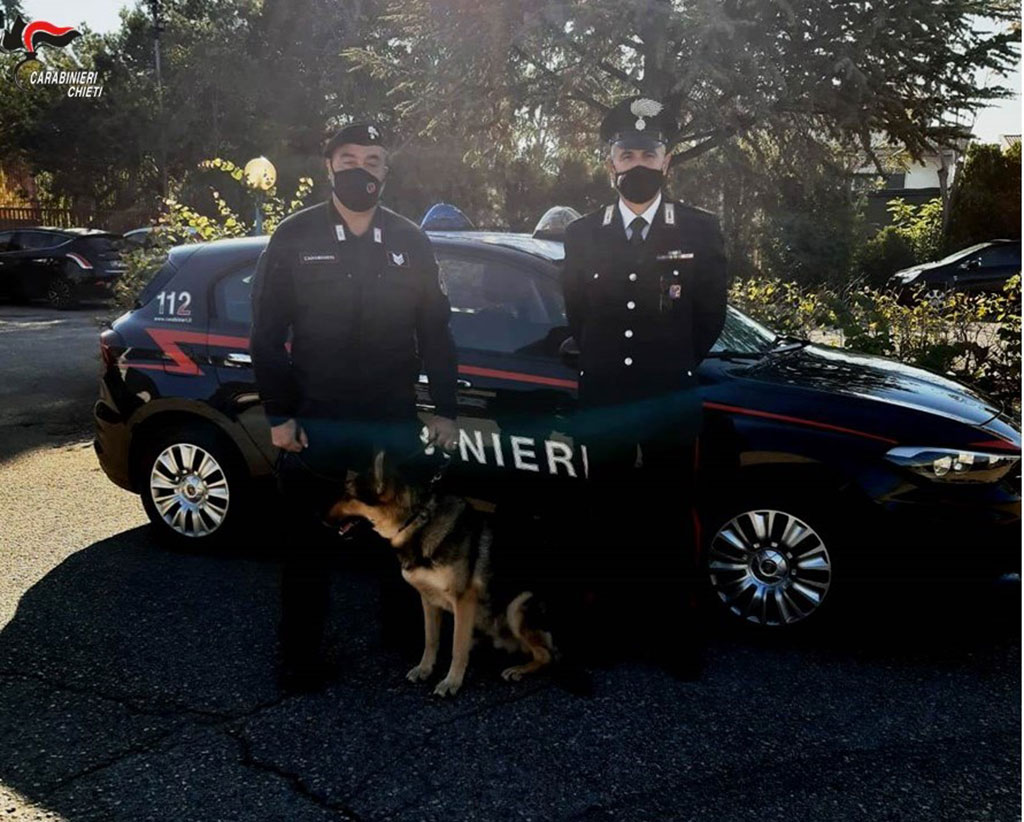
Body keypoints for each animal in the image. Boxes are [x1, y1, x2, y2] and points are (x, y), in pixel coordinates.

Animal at [323, 452, 581, 696]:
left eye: (348, 496)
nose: (322, 522)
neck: (415, 521)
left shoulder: (464, 600)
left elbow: (457, 646)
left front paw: (451, 682)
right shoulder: (428, 600)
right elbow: (431, 639)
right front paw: (425, 669)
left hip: (517, 605)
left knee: (546, 655)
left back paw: (518, 669)